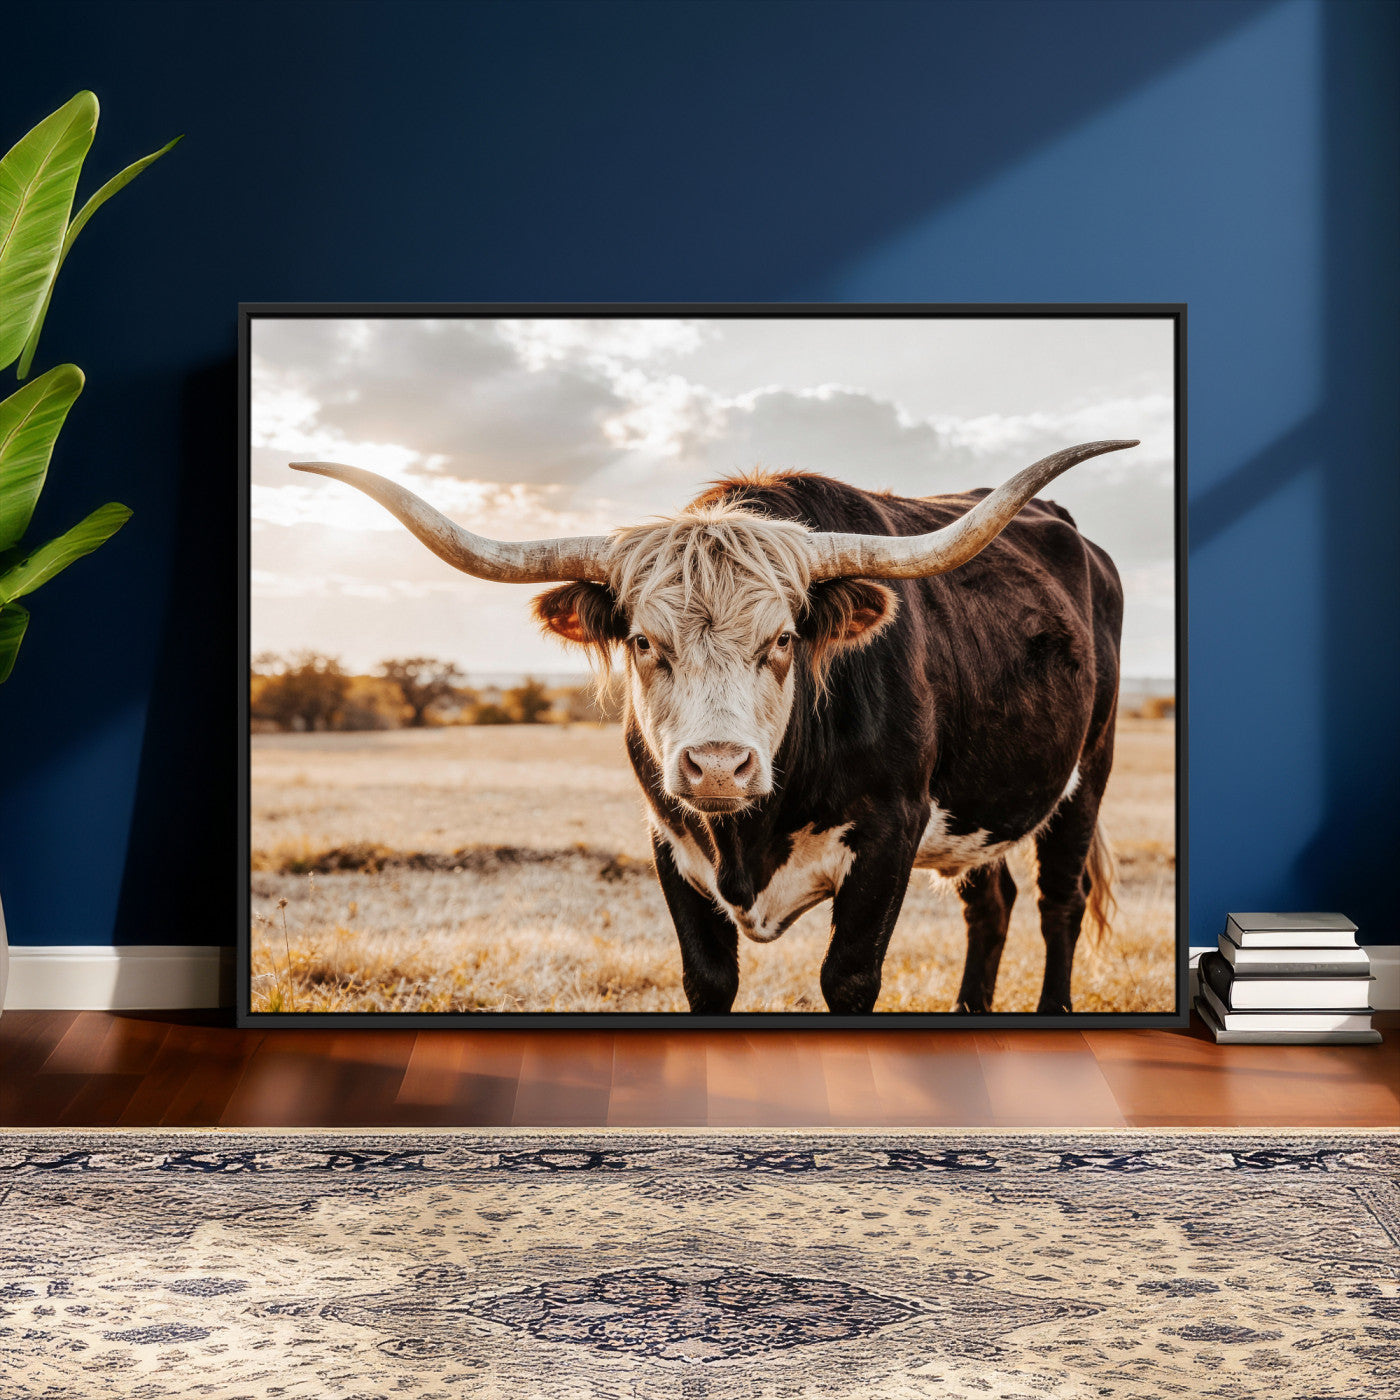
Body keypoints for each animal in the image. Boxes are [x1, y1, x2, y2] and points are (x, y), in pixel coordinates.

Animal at [291, 438, 1134, 1014]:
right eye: (642, 642)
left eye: (784, 640)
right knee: (990, 906)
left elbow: (849, 976)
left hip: (1087, 774)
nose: (720, 766)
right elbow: (708, 977)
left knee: (1058, 904)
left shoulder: (891, 835)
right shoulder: (670, 840)